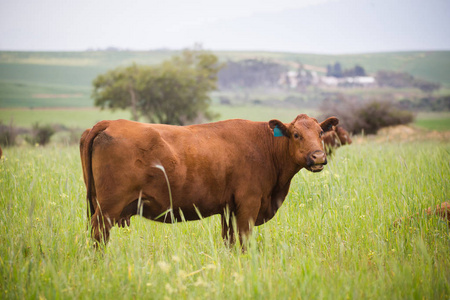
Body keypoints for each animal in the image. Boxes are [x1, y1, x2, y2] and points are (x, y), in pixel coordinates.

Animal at [80, 115, 338, 246]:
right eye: (296, 134)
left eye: (320, 133)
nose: (318, 156)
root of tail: (110, 123)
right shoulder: (248, 204)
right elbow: (243, 241)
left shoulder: (229, 210)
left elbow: (229, 241)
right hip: (109, 207)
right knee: (98, 234)